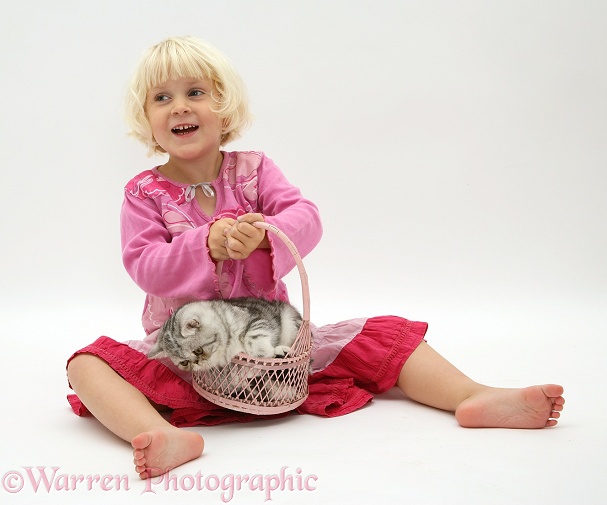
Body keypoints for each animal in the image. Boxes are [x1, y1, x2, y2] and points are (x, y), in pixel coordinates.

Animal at [148, 296, 302, 370]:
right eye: (184, 363)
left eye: (198, 350)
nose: (196, 362)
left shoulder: (256, 318)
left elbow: (253, 335)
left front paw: (264, 352)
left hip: (289, 319)